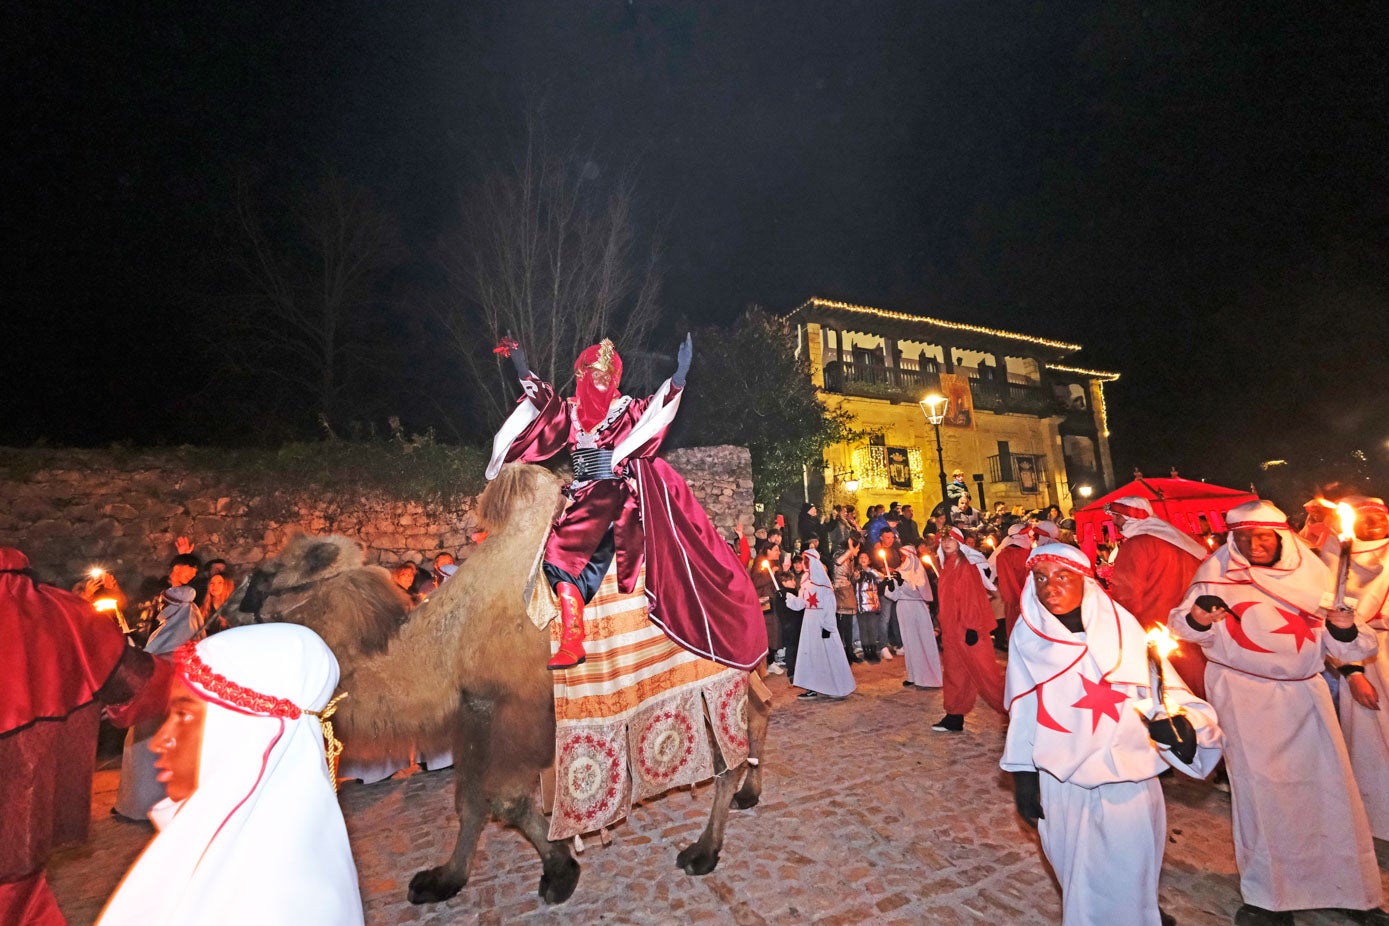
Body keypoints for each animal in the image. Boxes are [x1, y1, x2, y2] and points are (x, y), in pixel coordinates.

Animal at [222, 463, 777, 905]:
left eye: (265, 577)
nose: (224, 611)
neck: (447, 646)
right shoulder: (477, 708)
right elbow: (469, 801)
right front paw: (442, 880)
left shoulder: (519, 710)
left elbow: (506, 800)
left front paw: (560, 871)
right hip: (736, 669)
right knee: (759, 712)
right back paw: (748, 794)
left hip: (712, 674)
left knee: (730, 749)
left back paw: (703, 851)